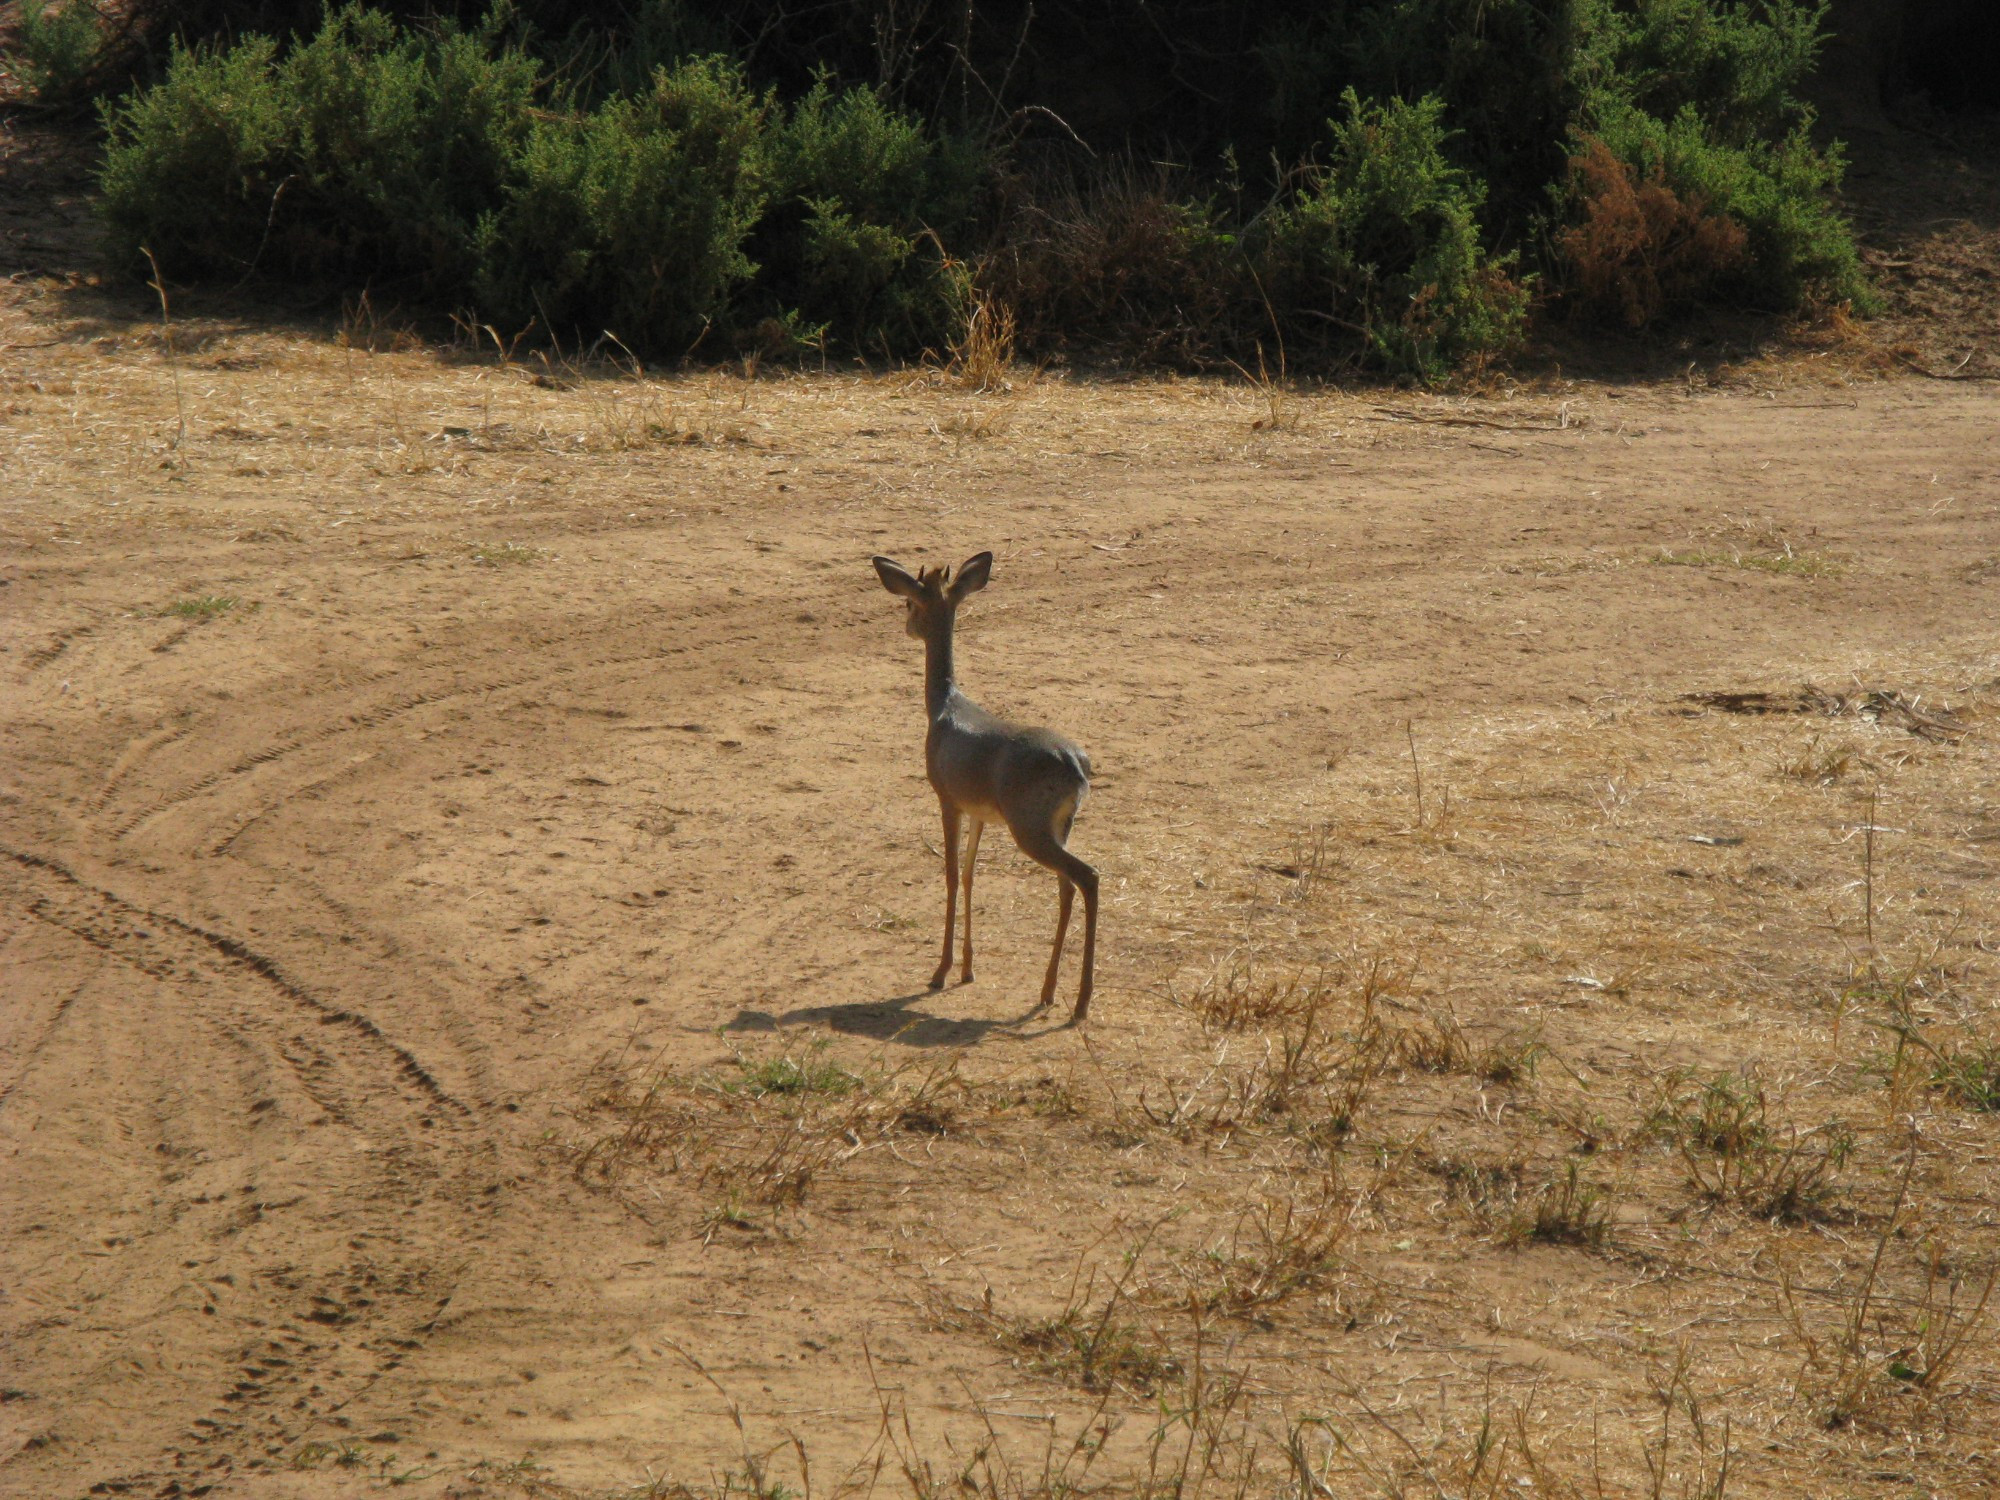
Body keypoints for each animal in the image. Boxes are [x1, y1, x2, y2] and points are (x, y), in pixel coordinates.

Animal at [872, 560, 1104, 1032]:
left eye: (910, 602)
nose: (906, 626)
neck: (945, 707)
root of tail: (1076, 764)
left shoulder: (947, 801)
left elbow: (949, 873)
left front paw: (940, 972)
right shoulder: (979, 814)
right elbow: (969, 874)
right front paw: (967, 968)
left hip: (1030, 832)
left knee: (1087, 877)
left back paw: (1080, 1004)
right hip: (1058, 830)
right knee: (1067, 886)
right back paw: (1047, 992)